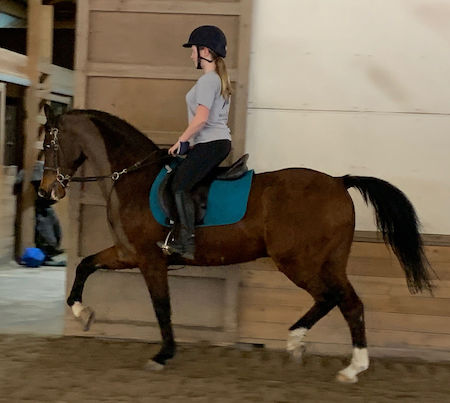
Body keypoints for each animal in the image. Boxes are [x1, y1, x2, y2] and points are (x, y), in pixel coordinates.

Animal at [40, 105, 434, 384]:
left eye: (48, 145)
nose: (46, 192)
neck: (133, 178)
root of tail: (339, 181)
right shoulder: (128, 253)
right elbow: (86, 264)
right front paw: (83, 313)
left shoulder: (150, 259)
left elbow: (162, 307)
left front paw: (163, 355)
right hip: (330, 261)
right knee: (347, 303)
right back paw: (331, 357)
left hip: (298, 262)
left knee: (335, 300)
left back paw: (323, 354)